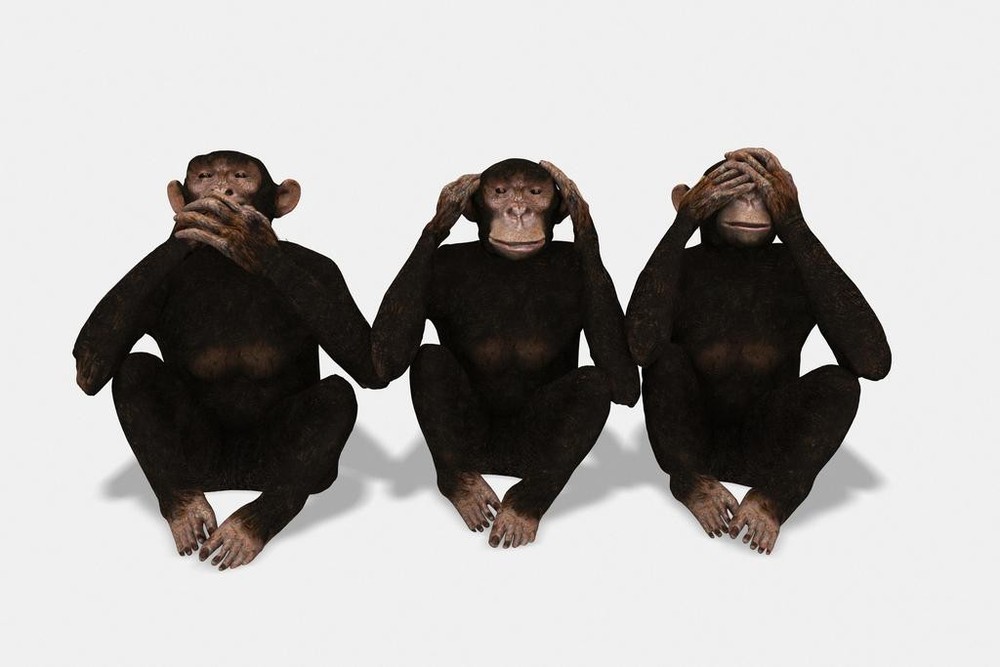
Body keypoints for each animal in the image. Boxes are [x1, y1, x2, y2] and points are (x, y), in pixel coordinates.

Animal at [74, 150, 383, 570]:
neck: (227, 266)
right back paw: (186, 508)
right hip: (201, 463)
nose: (224, 189)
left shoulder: (326, 271)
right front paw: (185, 229)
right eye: (204, 176)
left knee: (336, 396)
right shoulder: (155, 288)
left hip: (272, 463)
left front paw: (252, 241)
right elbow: (90, 360)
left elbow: (370, 362)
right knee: (134, 370)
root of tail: (234, 478)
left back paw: (247, 528)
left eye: (241, 175)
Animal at [372, 158, 639, 548]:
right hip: (476, 446)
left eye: (535, 192)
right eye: (499, 192)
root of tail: (500, 464)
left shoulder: (579, 266)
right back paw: (464, 487)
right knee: (429, 360)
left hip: (527, 451)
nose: (518, 211)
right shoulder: (438, 265)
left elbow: (623, 381)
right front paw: (448, 205)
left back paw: (521, 509)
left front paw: (577, 204)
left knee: (593, 385)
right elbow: (386, 358)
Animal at [626, 147, 890, 554]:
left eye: (757, 189)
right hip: (710, 453)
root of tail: (733, 472)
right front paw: (696, 201)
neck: (738, 256)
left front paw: (783, 193)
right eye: (734, 183)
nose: (750, 199)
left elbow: (870, 353)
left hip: (761, 457)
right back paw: (699, 489)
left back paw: (767, 504)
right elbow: (642, 339)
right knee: (663, 358)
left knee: (839, 384)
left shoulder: (800, 267)